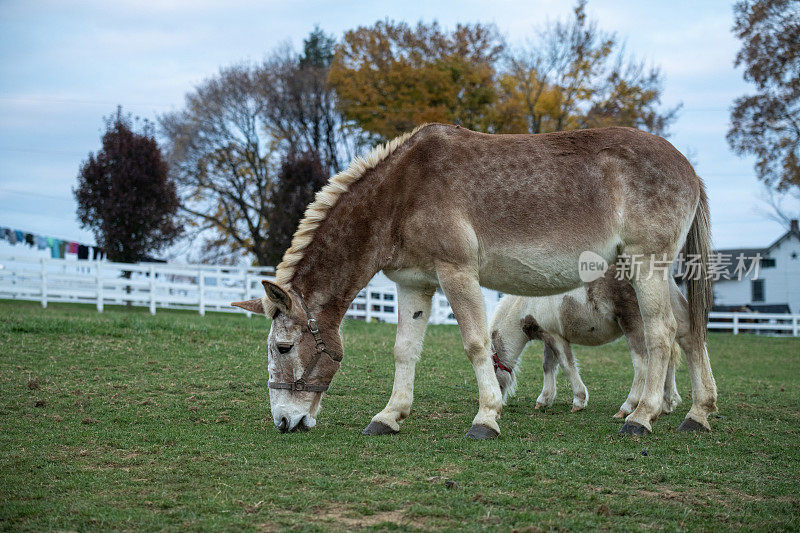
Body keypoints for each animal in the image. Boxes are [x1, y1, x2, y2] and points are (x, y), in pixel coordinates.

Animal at [490, 266, 684, 416]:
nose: (496, 405)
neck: (526, 304)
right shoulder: (549, 337)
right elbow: (548, 365)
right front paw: (544, 400)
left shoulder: (556, 337)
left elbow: (567, 365)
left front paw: (579, 401)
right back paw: (666, 404)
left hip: (634, 326)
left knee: (642, 364)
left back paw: (627, 408)